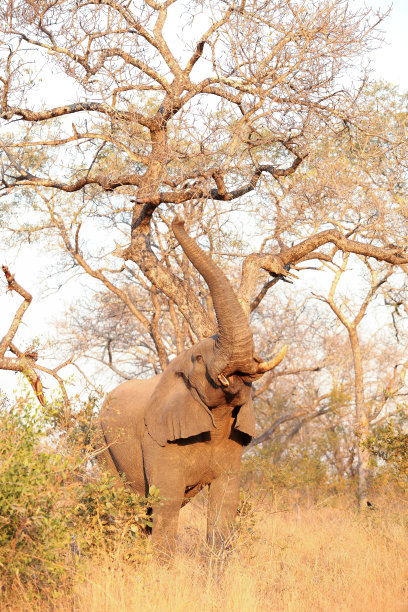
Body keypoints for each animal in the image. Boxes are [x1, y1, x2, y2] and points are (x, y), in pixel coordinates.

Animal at [97, 218, 286, 552]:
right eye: (198, 358)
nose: (178, 220)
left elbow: (224, 501)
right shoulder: (157, 440)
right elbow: (168, 502)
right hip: (103, 444)